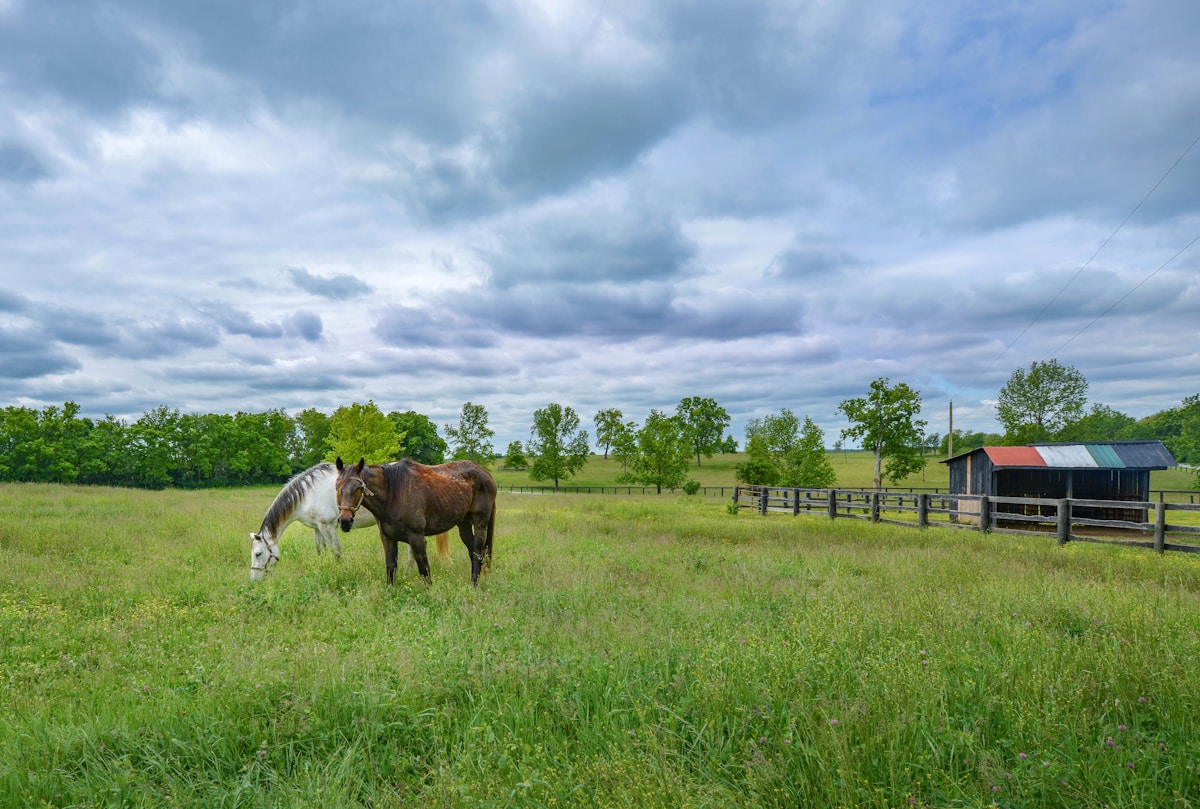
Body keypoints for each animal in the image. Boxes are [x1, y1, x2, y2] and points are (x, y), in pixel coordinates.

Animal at [250, 462, 449, 581]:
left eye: (258, 554)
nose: (254, 579)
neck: (309, 494)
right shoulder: (317, 528)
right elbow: (320, 551)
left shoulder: (328, 527)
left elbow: (336, 552)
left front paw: (340, 571)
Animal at [335, 456, 496, 586]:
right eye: (337, 487)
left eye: (358, 488)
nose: (345, 520)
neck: (393, 493)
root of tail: (485, 473)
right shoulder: (388, 538)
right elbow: (391, 568)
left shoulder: (417, 538)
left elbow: (424, 570)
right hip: (464, 524)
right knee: (473, 552)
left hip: (480, 522)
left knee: (478, 552)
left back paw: (474, 585)